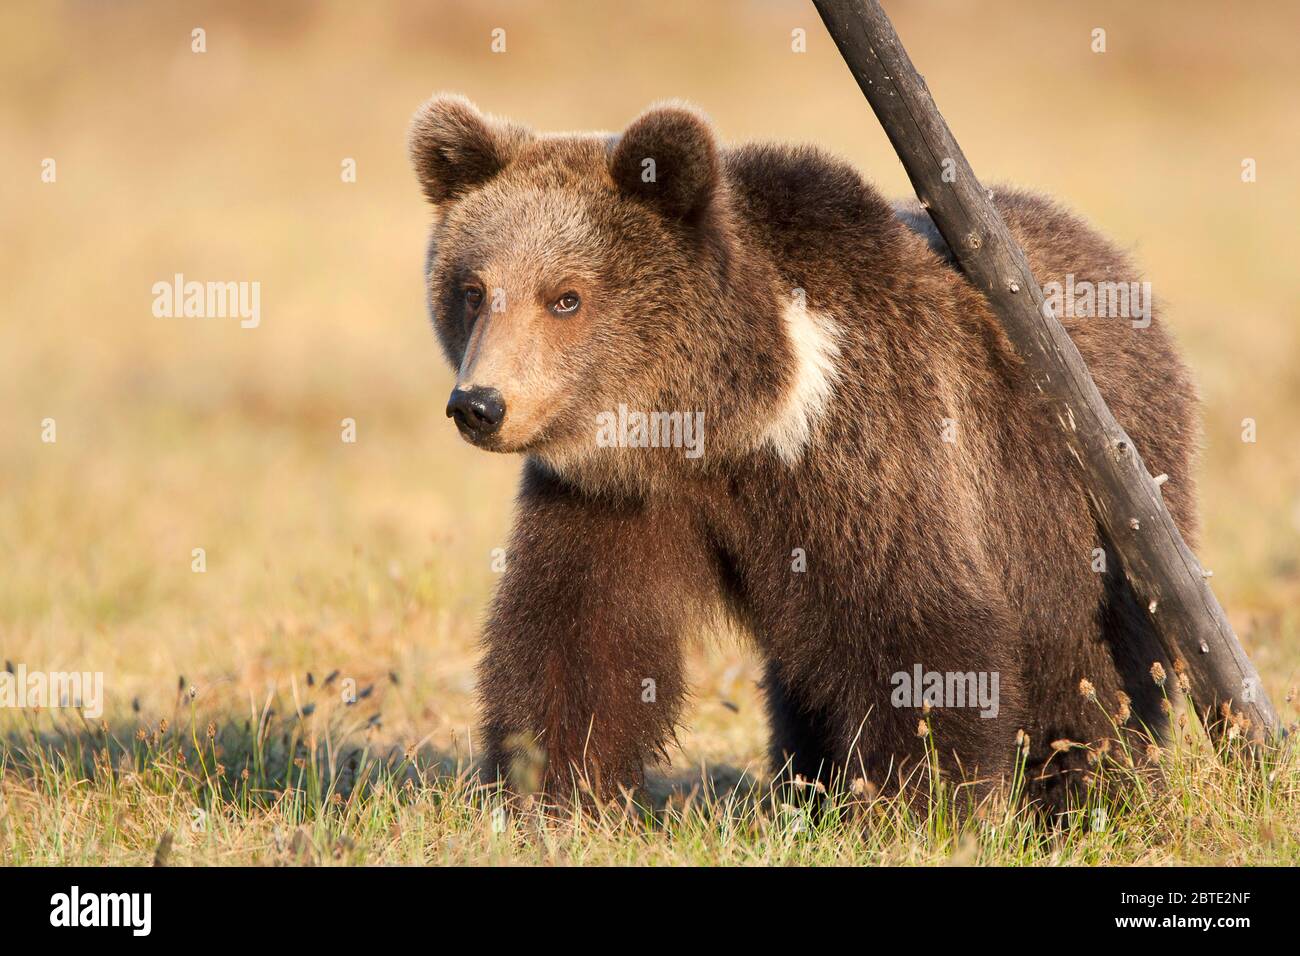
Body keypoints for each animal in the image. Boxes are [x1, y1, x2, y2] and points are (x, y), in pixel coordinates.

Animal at [408, 94, 1199, 812]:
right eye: (474, 289)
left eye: (566, 297)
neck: (723, 426)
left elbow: (915, 630)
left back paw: (1088, 794)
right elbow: (576, 637)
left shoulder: (862, 453)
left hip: (1084, 502)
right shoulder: (614, 498)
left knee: (1092, 666)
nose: (479, 404)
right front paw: (552, 793)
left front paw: (918, 803)